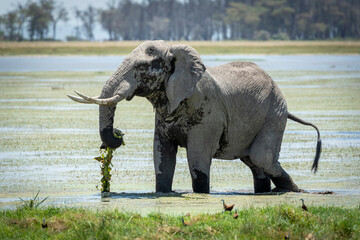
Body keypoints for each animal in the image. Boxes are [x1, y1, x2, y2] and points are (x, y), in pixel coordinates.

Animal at [67, 40, 320, 194]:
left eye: (142, 67)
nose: (118, 135)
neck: (174, 50)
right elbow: (162, 158)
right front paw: (164, 192)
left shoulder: (207, 115)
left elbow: (197, 160)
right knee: (255, 164)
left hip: (273, 114)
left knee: (262, 158)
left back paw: (291, 191)